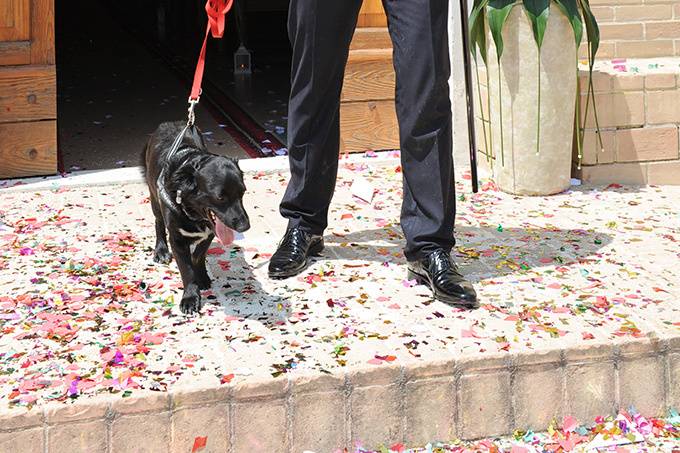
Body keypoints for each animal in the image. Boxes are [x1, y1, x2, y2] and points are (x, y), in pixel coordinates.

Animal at [145, 120, 251, 312]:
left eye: (243, 192)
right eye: (220, 197)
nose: (245, 226)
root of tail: (169, 123)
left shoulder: (209, 234)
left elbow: (198, 256)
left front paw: (201, 277)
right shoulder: (177, 240)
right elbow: (186, 270)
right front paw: (190, 297)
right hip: (154, 197)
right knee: (158, 222)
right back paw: (161, 250)